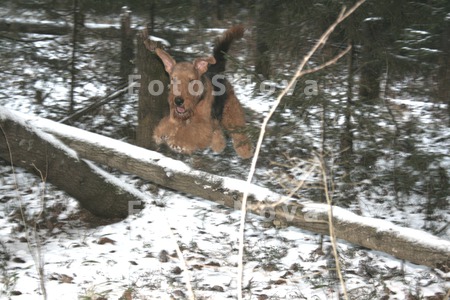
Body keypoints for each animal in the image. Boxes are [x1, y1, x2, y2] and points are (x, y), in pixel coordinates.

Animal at [153, 25, 253, 159]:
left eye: (191, 80)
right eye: (173, 78)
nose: (178, 101)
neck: (195, 104)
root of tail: (216, 71)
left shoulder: (202, 125)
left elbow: (189, 134)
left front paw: (177, 143)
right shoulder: (175, 118)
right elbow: (167, 124)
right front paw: (160, 133)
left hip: (231, 113)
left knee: (239, 133)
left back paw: (245, 151)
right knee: (217, 131)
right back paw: (218, 145)